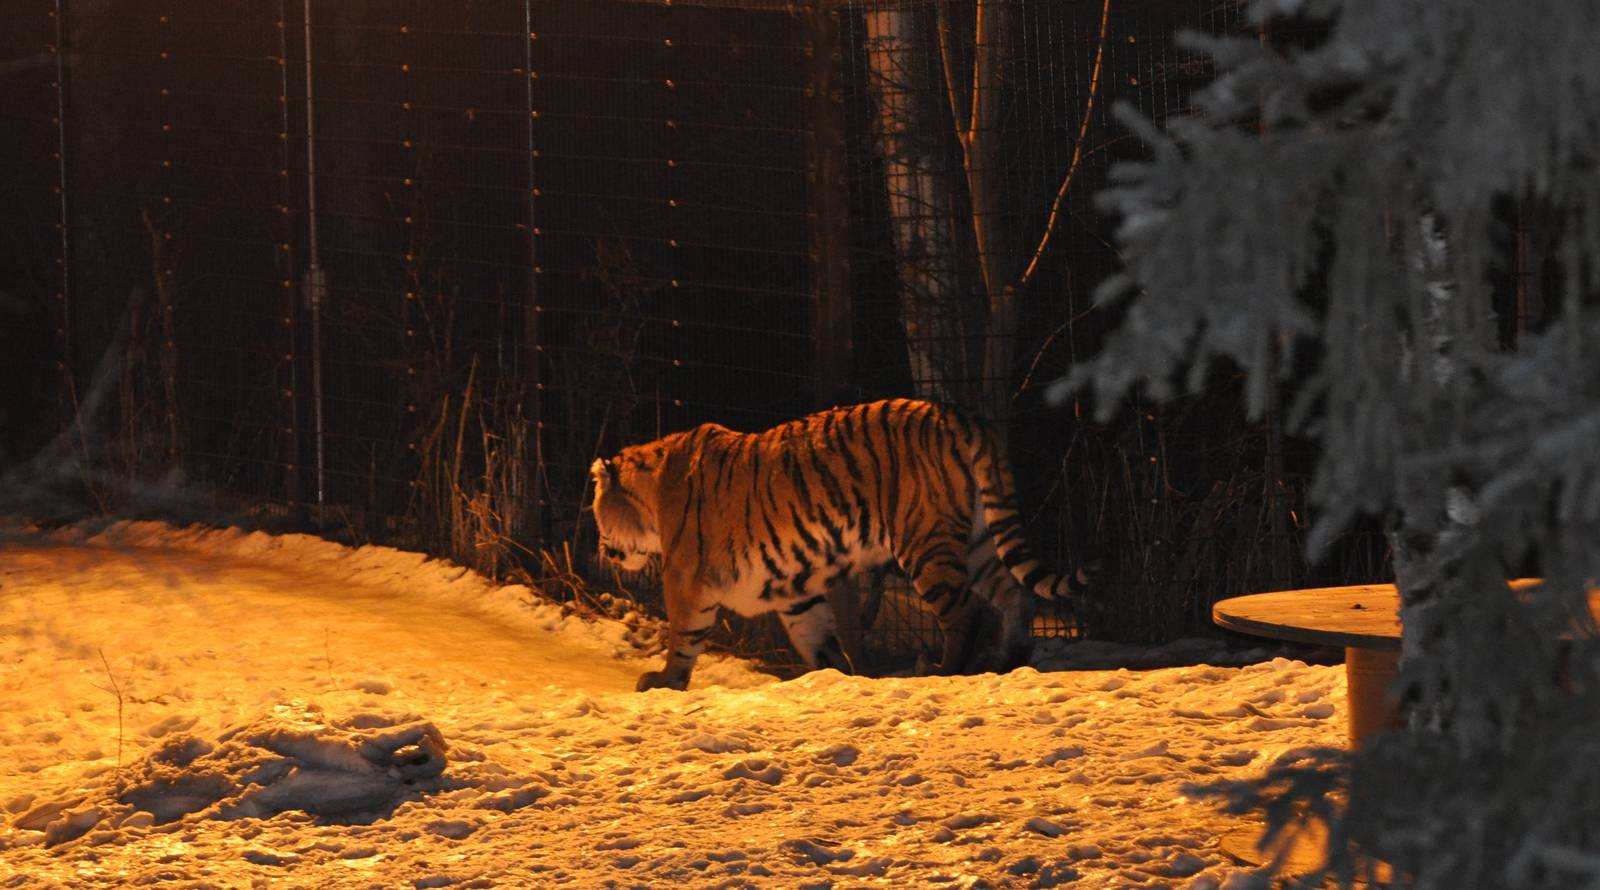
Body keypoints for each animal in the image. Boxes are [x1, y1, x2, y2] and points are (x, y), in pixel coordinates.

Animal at [589, 398, 1095, 691]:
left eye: (596, 513)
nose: (601, 550)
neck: (651, 496)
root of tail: (957, 415)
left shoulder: (685, 577)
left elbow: (682, 634)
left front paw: (664, 681)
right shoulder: (792, 588)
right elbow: (816, 635)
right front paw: (835, 675)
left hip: (923, 539)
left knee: (963, 611)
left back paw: (943, 670)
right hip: (977, 538)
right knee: (1014, 595)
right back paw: (1010, 659)